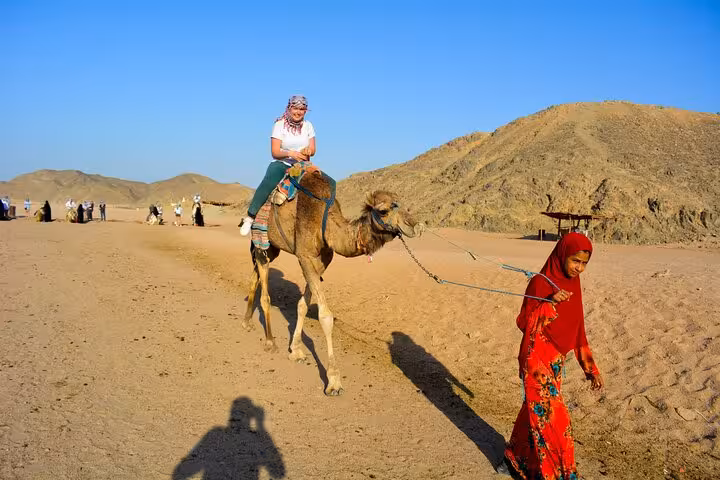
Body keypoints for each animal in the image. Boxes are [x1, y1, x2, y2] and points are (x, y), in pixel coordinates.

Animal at [242, 171, 423, 395]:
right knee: (265, 290)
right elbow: (325, 316)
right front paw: (334, 381)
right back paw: (269, 341)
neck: (326, 224)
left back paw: (247, 321)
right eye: (383, 210)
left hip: (273, 247)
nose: (414, 225)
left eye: (405, 205)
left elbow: (302, 305)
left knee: (255, 276)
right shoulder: (304, 255)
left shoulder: (323, 260)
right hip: (262, 242)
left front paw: (296, 350)